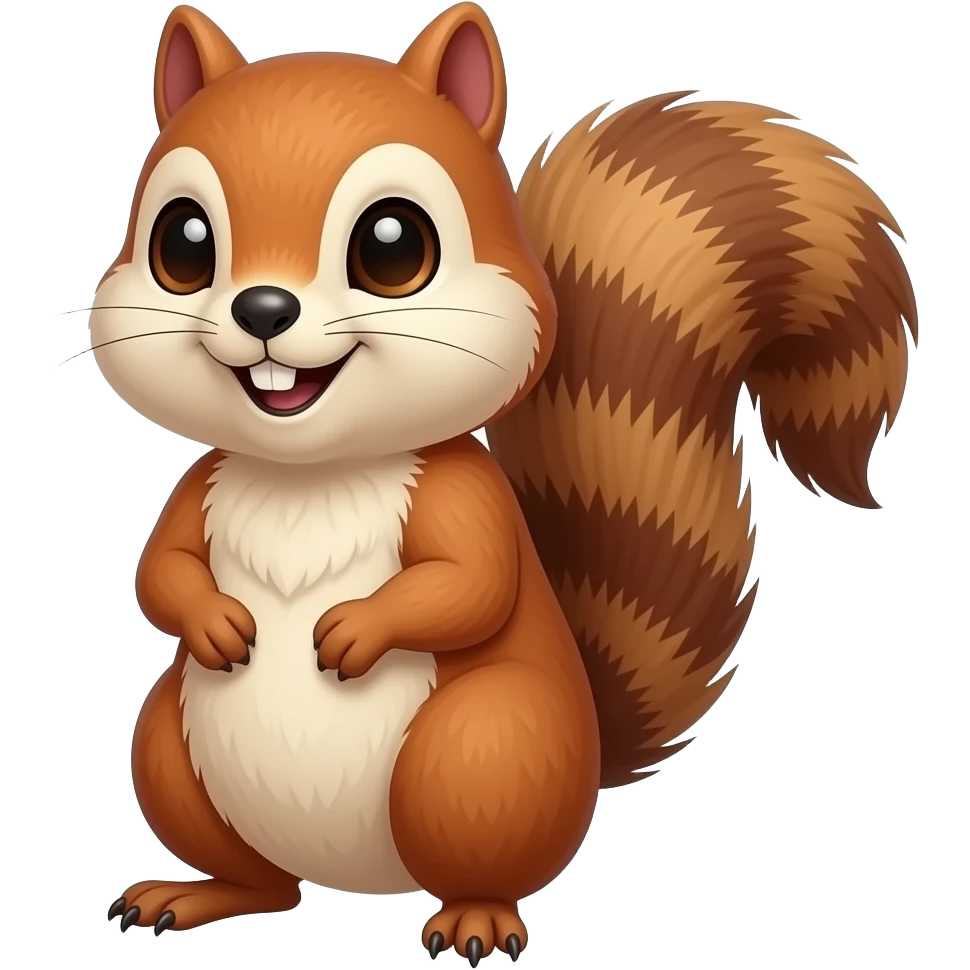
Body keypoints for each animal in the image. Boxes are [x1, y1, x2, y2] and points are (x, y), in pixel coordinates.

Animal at [98, 2, 917, 963]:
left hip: (479, 750)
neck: (312, 473)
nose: (263, 309)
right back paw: (196, 894)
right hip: (169, 748)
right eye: (181, 243)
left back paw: (475, 919)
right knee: (266, 883)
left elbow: (472, 585)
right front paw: (215, 620)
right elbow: (160, 573)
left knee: (473, 855)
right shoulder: (200, 487)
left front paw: (356, 631)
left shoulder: (466, 499)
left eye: (393, 246)